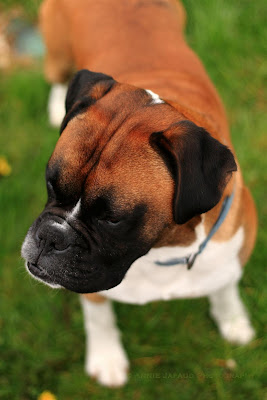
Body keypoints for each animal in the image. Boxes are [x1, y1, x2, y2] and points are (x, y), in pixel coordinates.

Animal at [22, 0, 258, 388]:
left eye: (112, 219)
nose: (50, 236)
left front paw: (234, 321)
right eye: (51, 184)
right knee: (57, 75)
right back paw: (58, 106)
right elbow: (98, 316)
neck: (162, 250)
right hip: (57, 52)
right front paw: (107, 358)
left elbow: (224, 288)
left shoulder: (230, 251)